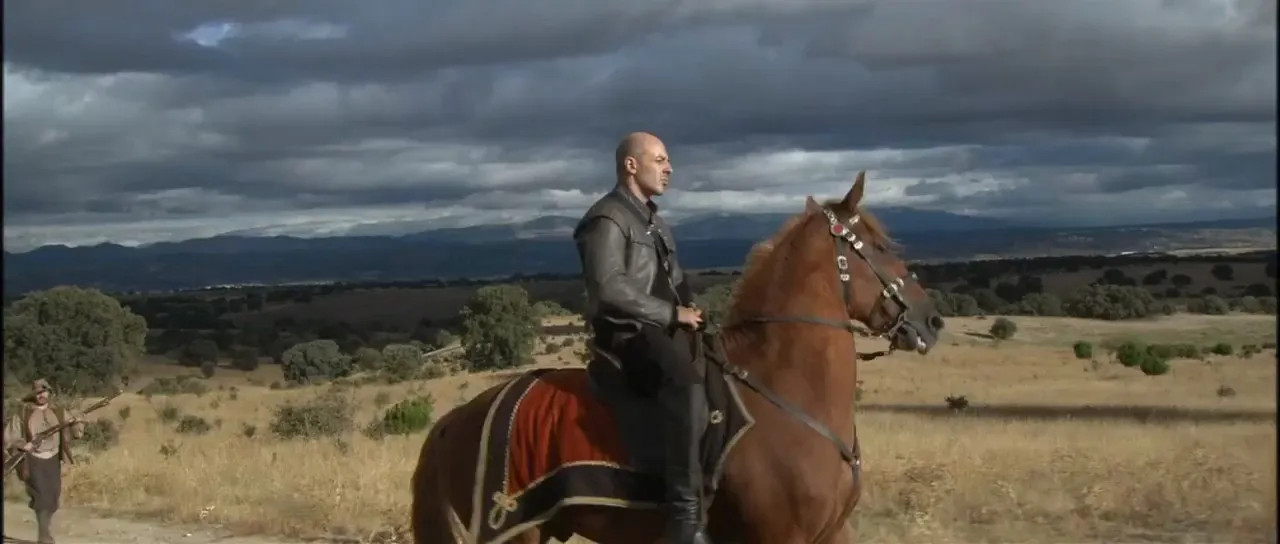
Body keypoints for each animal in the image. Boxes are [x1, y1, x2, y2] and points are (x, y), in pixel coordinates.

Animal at [412, 171, 946, 544]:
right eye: (881, 246)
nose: (931, 321)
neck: (787, 396)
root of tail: (456, 419)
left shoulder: (833, 532)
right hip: (514, 532)